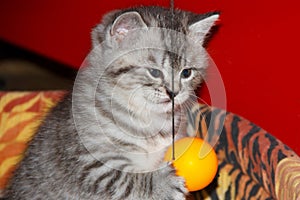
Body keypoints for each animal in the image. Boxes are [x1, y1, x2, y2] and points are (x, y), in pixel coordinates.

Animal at [2, 5, 218, 199]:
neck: (146, 116)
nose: (174, 93)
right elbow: (120, 179)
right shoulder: (88, 162)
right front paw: (161, 184)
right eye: (154, 72)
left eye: (186, 72)